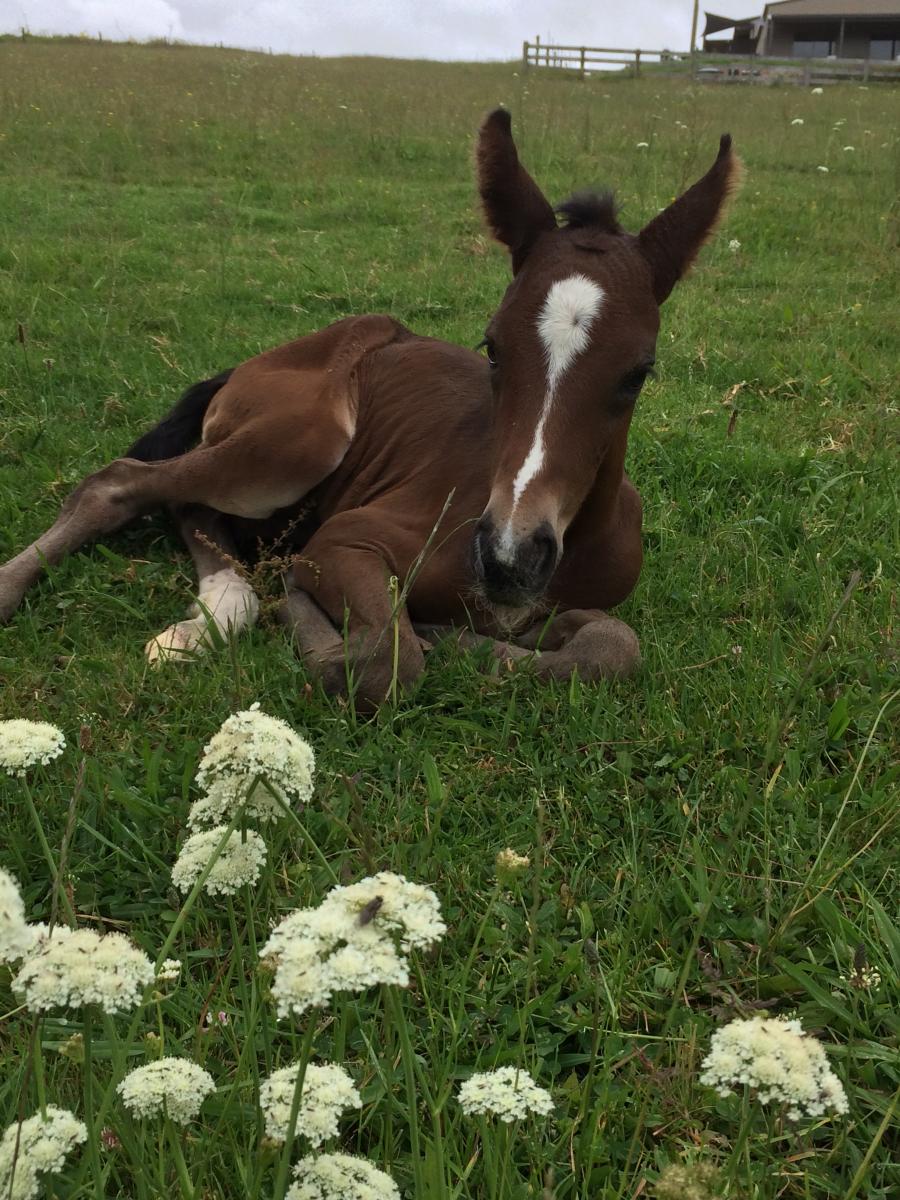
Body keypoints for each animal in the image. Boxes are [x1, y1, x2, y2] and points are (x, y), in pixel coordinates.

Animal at [0, 109, 739, 705]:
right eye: (492, 347)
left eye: (638, 373)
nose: (508, 558)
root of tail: (258, 360)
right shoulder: (344, 541)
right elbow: (386, 660)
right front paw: (327, 615)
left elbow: (612, 647)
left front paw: (469, 638)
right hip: (300, 440)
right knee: (123, 483)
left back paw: (214, 612)